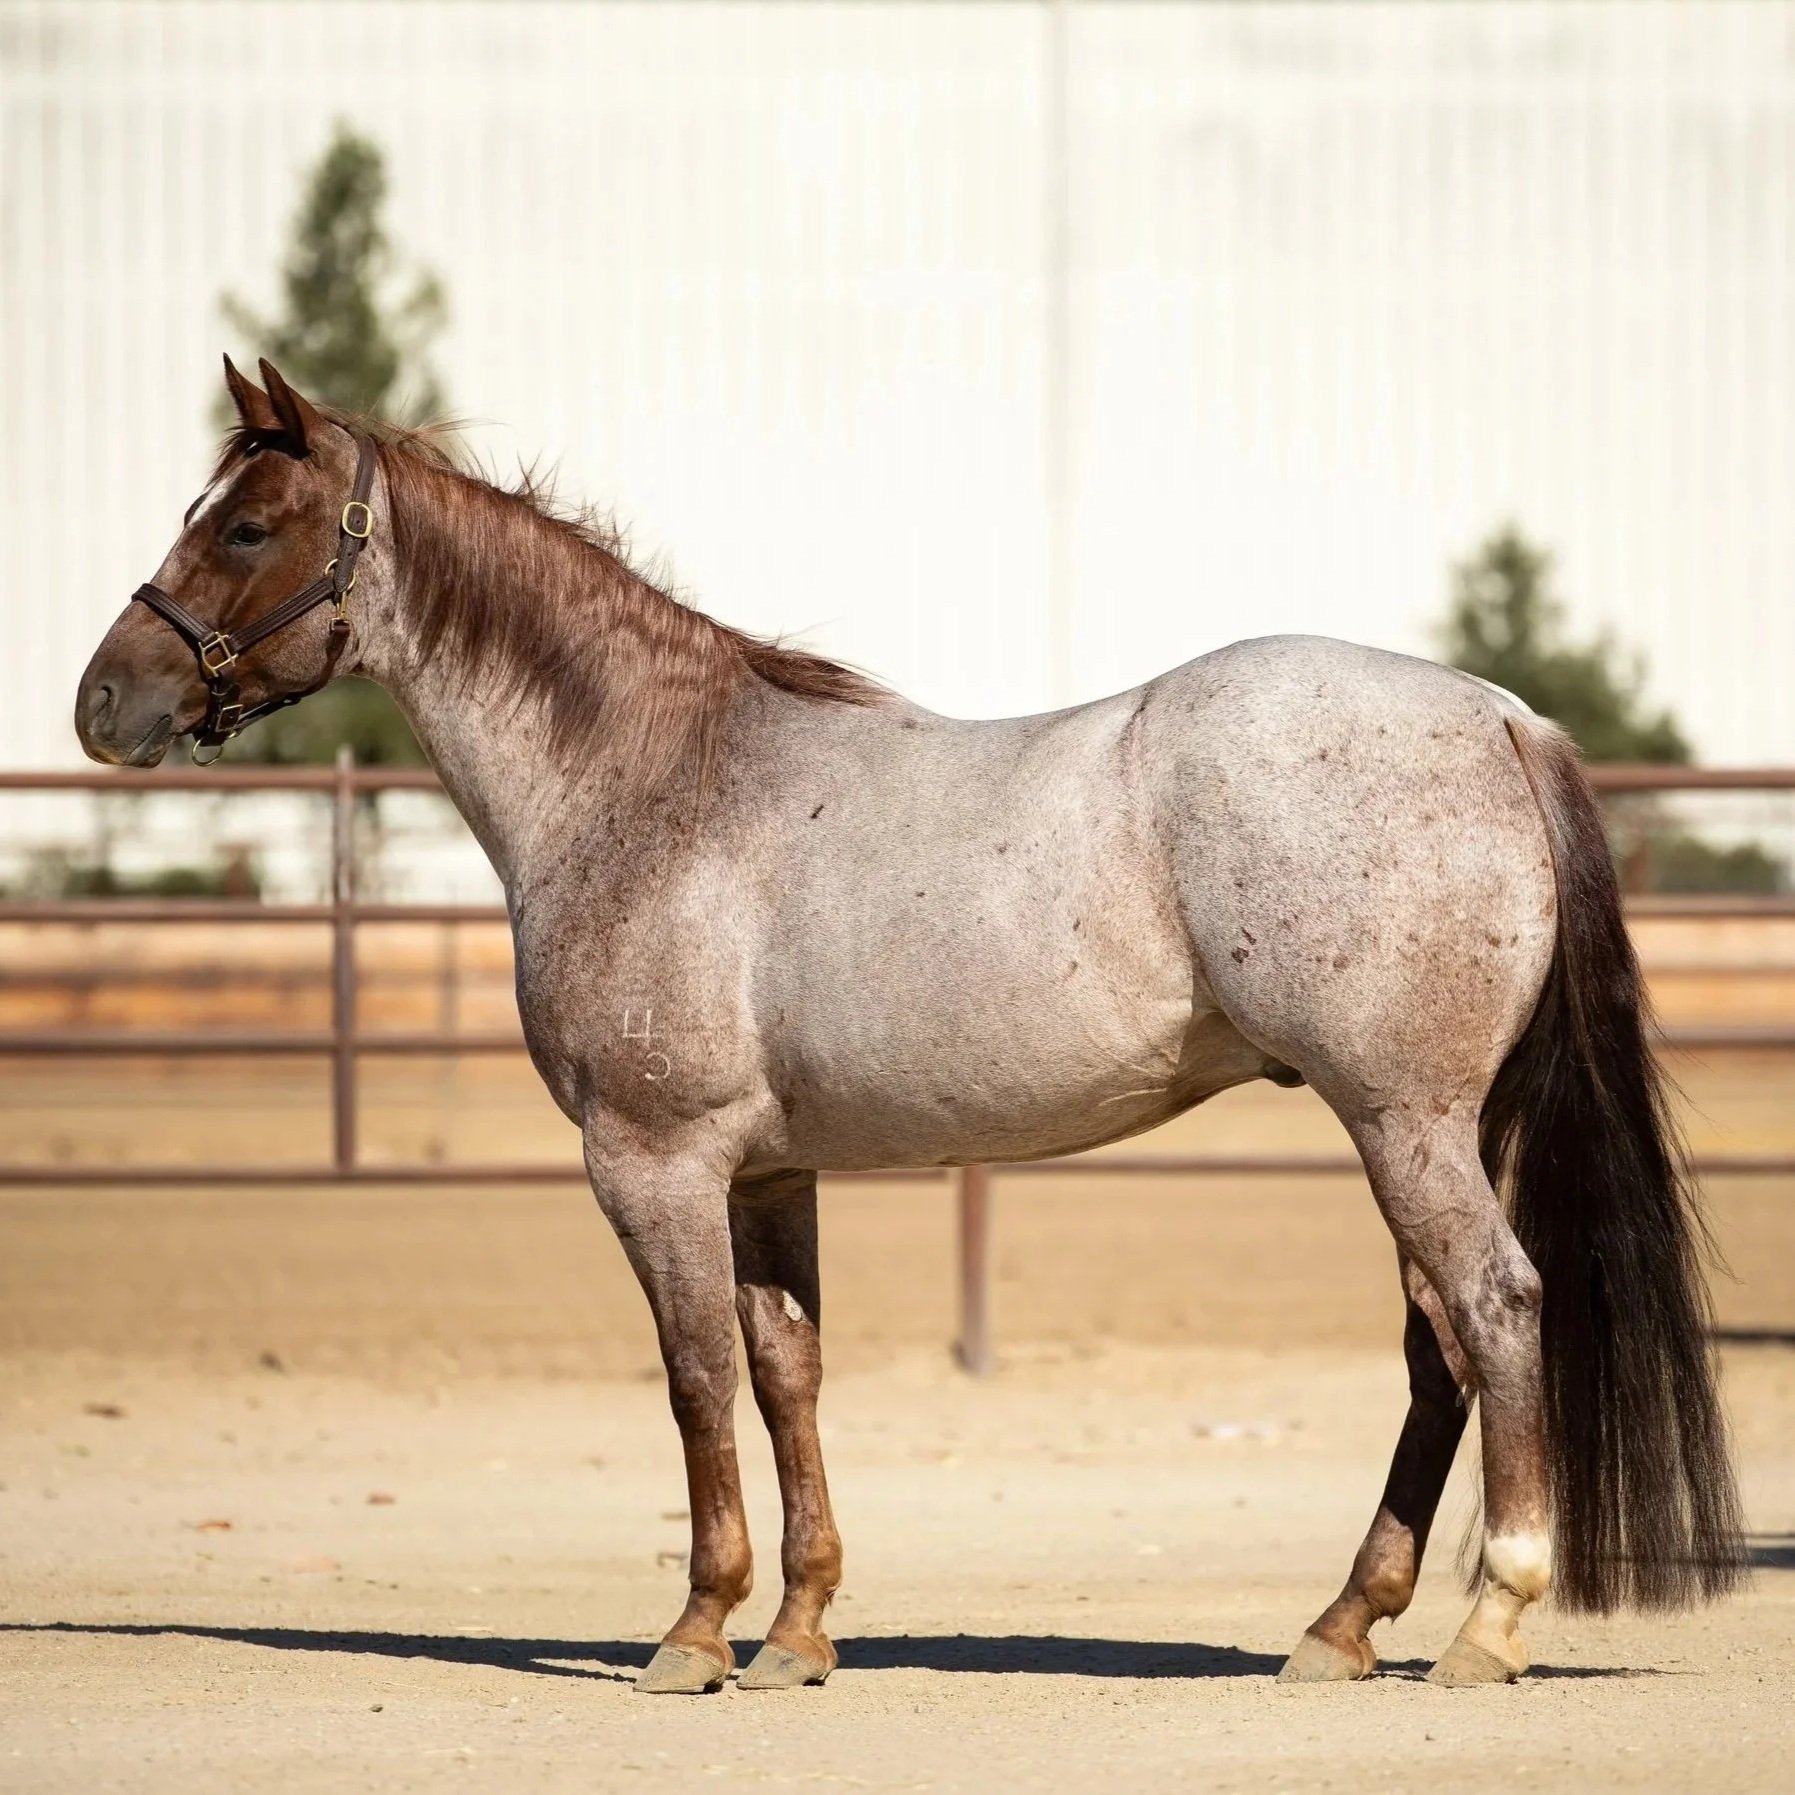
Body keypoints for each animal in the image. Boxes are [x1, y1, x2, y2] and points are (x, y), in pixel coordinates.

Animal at [75, 358, 1743, 1694]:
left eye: (244, 526)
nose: (103, 702)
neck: (650, 778)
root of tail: (1497, 717)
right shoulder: (764, 1171)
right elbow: (784, 1371)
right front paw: (798, 1629)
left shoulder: (653, 1161)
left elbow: (692, 1374)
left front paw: (694, 1631)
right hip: (1420, 1127)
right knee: (1433, 1346)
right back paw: (1339, 1627)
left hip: (1404, 1123)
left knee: (1495, 1310)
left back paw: (1485, 1623)